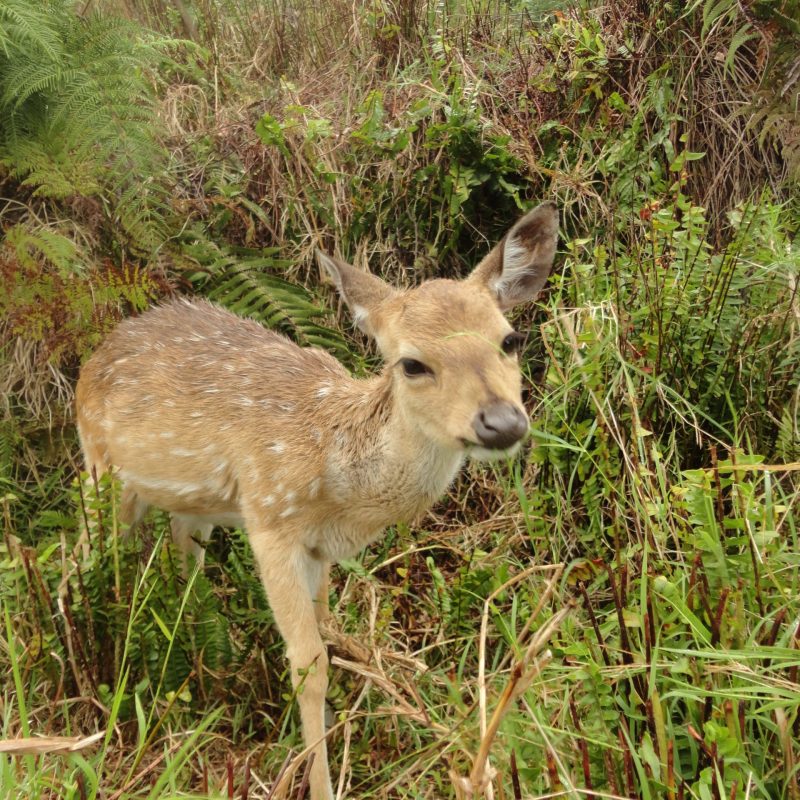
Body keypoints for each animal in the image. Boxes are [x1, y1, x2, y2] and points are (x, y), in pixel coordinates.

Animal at [74, 202, 558, 800]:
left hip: (192, 504)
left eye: (510, 339)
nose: (502, 422)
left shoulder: (319, 549)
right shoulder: (270, 521)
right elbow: (309, 664)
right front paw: (321, 780)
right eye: (412, 363)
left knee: (184, 556)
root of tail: (99, 349)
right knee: (82, 554)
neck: (338, 476)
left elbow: (331, 631)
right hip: (100, 467)